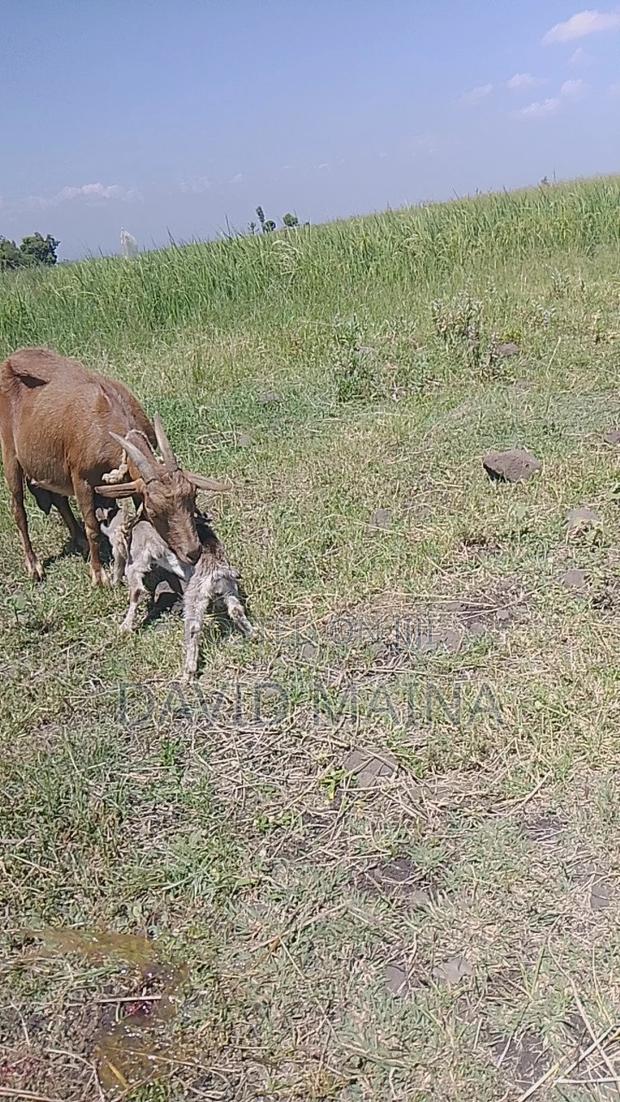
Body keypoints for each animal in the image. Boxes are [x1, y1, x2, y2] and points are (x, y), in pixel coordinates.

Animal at [0, 347, 226, 585]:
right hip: (10, 452)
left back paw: (78, 539)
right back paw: (34, 565)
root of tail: (12, 358)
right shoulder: (80, 478)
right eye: (154, 511)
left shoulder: (132, 483)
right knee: (18, 508)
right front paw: (98, 575)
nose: (193, 552)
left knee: (59, 499)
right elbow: (92, 527)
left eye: (193, 497)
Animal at [101, 498, 253, 681]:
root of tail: (218, 570)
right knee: (236, 609)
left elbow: (136, 591)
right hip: (229, 588)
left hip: (195, 597)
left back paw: (188, 672)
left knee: (193, 627)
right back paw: (253, 635)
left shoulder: (137, 560)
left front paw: (125, 626)